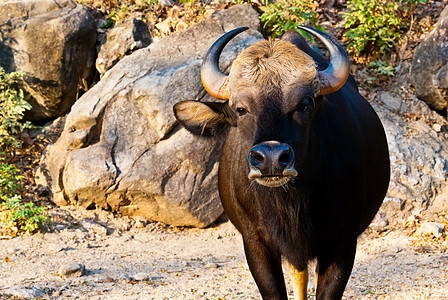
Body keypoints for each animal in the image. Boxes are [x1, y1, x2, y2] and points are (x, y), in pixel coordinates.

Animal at [173, 27, 390, 298]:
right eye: (240, 109)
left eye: (304, 105)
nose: (271, 159)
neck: (291, 204)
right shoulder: (255, 243)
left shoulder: (343, 243)